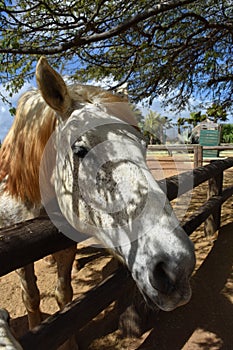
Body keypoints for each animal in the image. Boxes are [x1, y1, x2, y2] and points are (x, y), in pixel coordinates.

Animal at [0, 57, 196, 348]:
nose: (177, 267)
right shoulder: (20, 257)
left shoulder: (65, 244)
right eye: (80, 150)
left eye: (144, 145)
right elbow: (32, 297)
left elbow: (64, 297)